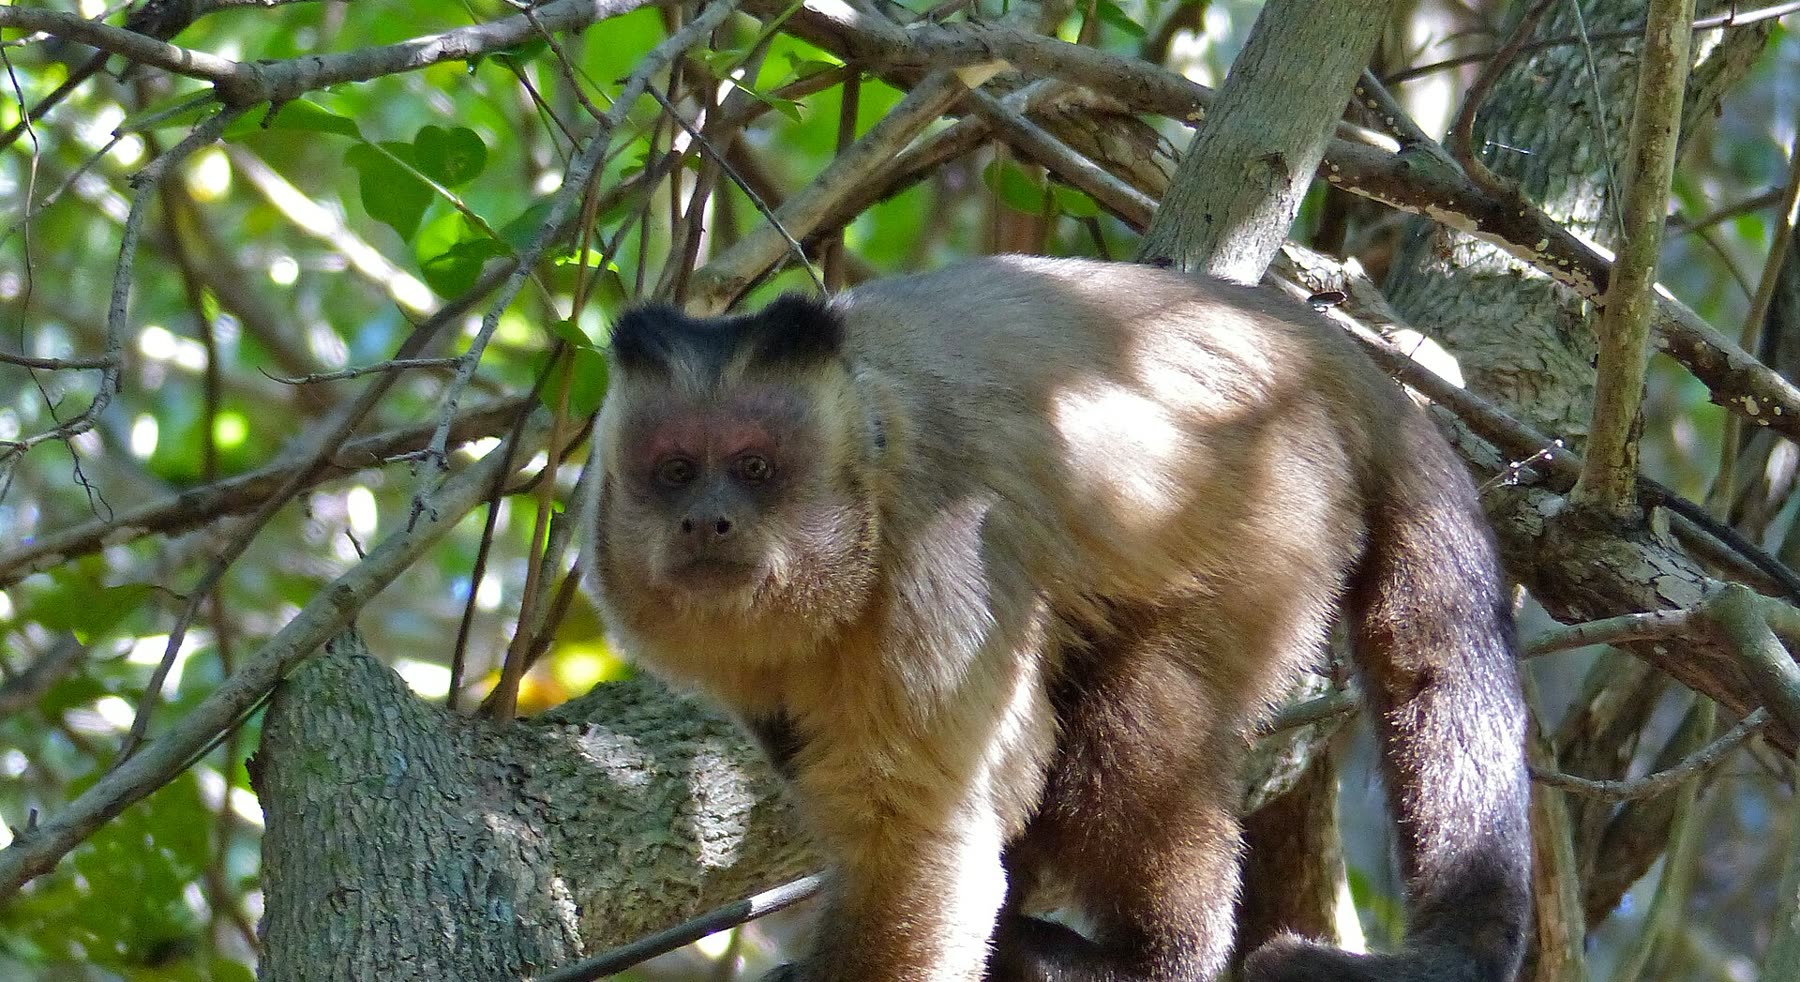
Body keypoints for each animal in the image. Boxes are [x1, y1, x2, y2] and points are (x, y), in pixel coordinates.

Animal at [584, 255, 1531, 982]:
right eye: (674, 471)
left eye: (755, 468)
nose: (707, 520)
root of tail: (1312, 343)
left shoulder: (931, 558)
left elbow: (930, 846)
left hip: (1277, 505)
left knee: (1133, 735)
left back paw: (1152, 962)